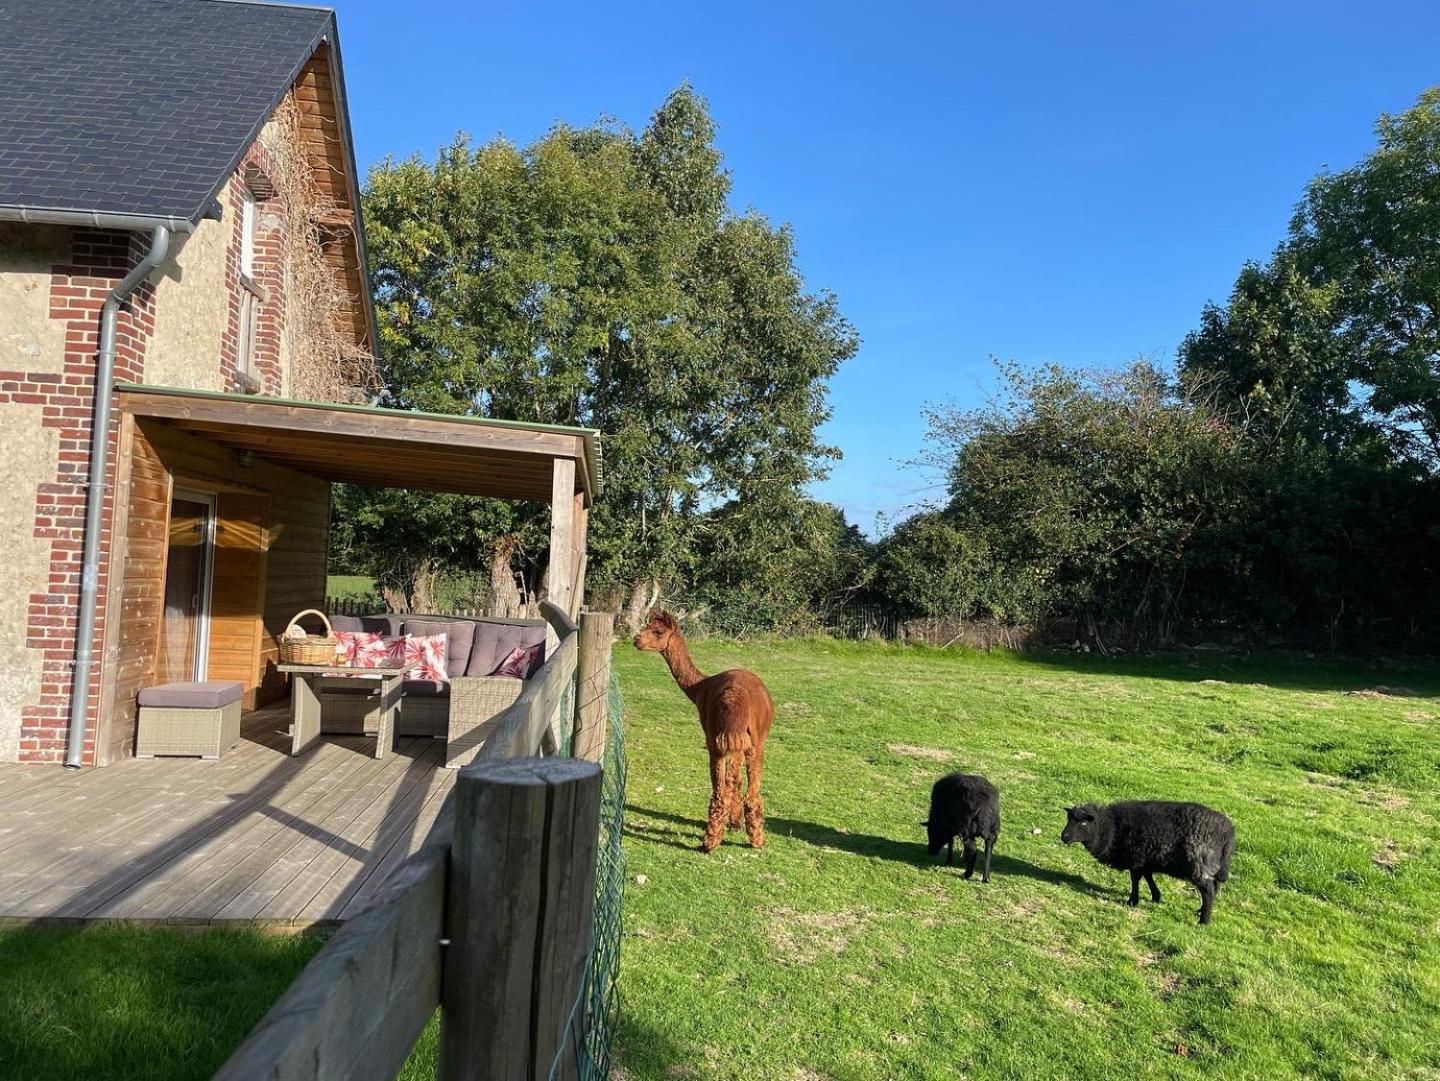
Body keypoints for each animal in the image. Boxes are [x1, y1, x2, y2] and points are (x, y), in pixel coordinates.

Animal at [1059, 800, 1238, 926]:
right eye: (1068, 819)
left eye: (1083, 823)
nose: (1064, 837)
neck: (1110, 829)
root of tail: (1228, 832)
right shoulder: (1146, 859)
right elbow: (1148, 877)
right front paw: (1156, 896)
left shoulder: (1136, 858)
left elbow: (1136, 879)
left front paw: (1132, 901)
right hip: (1212, 865)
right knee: (1215, 886)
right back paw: (1201, 911)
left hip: (1199, 863)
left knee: (1208, 890)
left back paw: (1203, 921)